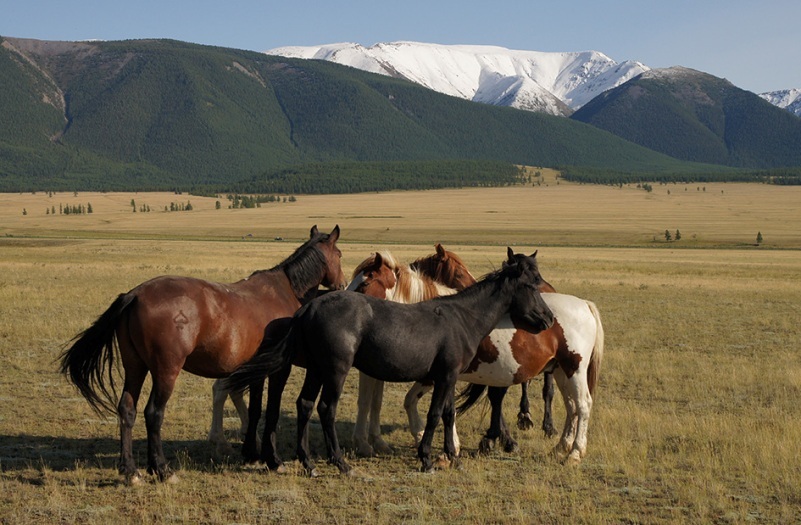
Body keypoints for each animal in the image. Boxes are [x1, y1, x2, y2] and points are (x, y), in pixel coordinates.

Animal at [56, 225, 344, 484]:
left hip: (135, 368)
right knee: (153, 413)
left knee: (127, 410)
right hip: (166, 372)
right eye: (339, 254)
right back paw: (162, 470)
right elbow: (271, 409)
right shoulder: (278, 370)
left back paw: (131, 471)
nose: (341, 284)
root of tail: (134, 295)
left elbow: (255, 408)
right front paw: (272, 459)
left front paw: (252, 454)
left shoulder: (257, 369)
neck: (285, 291)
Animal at [222, 248, 552, 472]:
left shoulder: (448, 377)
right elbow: (434, 415)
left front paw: (452, 456)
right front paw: (427, 457)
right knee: (326, 408)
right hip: (335, 371)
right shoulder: (445, 376)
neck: (460, 317)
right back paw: (340, 463)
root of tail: (308, 308)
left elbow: (447, 414)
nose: (548, 318)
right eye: (530, 285)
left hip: (315, 370)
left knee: (304, 405)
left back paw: (308, 463)